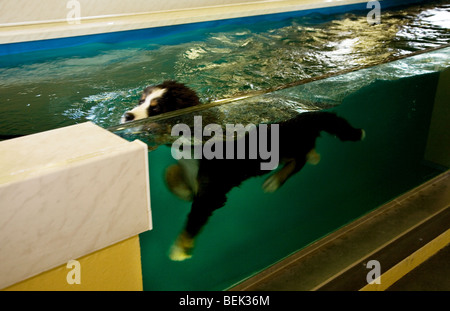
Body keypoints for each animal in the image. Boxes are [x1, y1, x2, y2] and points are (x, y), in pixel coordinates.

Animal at [123, 80, 366, 260]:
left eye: (156, 109)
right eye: (140, 101)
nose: (127, 116)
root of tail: (307, 110)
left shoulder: (213, 190)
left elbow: (195, 216)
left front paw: (180, 249)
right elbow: (169, 173)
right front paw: (184, 190)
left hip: (284, 145)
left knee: (300, 159)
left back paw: (275, 181)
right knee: (307, 150)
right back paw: (312, 158)